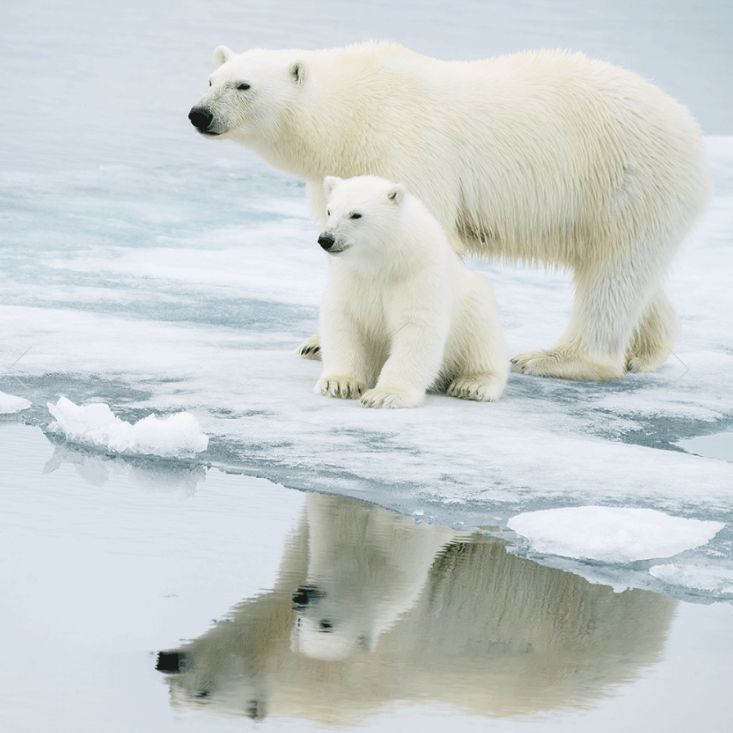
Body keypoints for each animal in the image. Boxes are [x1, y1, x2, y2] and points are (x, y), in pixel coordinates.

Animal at [189, 43, 708, 380]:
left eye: (244, 85)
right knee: (630, 270)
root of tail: (690, 126)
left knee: (614, 273)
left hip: (627, 176)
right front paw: (317, 341)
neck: (350, 114)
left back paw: (556, 359)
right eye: (211, 80)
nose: (199, 114)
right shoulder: (335, 173)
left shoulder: (404, 148)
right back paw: (645, 352)